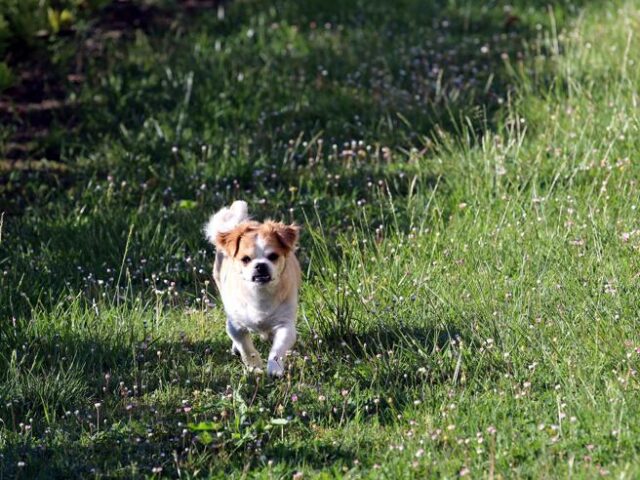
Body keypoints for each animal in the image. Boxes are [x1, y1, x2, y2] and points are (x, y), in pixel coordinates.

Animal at [206, 201, 304, 376]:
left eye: (273, 256)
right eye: (245, 259)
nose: (260, 265)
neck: (260, 293)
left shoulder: (285, 325)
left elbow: (278, 348)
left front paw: (274, 368)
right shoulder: (236, 326)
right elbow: (246, 348)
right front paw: (254, 367)